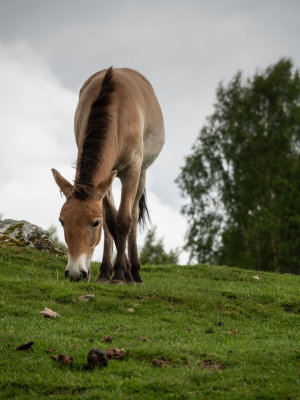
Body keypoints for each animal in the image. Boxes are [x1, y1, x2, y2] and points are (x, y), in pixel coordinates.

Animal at [51, 67, 164, 282]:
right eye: (62, 221)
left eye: (94, 223)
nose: (76, 274)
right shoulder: (105, 178)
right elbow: (111, 221)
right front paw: (109, 273)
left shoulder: (132, 170)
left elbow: (124, 220)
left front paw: (121, 275)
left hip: (142, 173)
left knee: (134, 214)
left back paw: (135, 272)